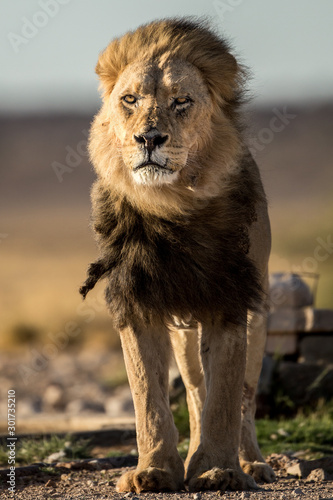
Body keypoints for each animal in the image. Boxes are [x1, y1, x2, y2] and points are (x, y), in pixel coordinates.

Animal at [79, 18, 274, 492]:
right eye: (130, 100)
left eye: (181, 101)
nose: (149, 138)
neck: (171, 202)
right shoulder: (136, 299)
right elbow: (148, 394)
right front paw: (155, 470)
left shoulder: (231, 297)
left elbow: (227, 395)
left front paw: (218, 469)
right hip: (185, 332)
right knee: (194, 390)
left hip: (259, 311)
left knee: (244, 398)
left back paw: (250, 462)